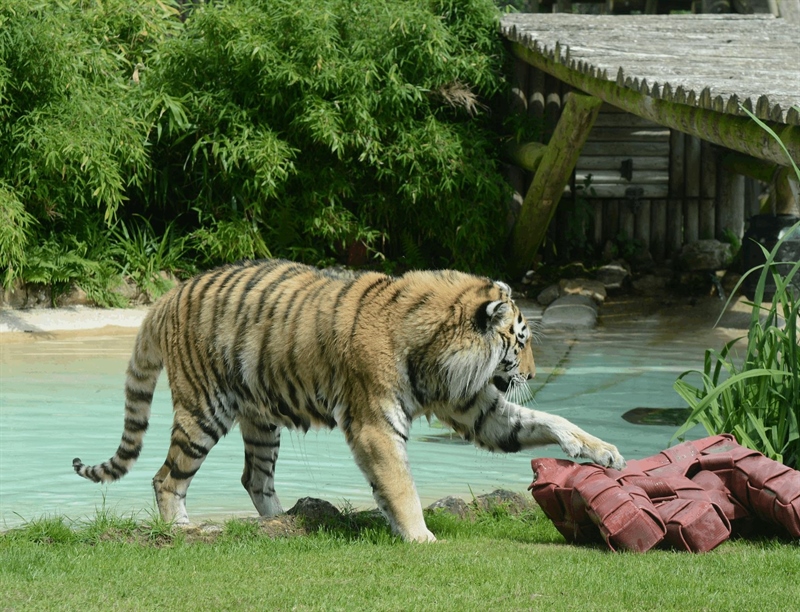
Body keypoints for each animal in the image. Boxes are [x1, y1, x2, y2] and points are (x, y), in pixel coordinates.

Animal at [73, 256, 624, 540]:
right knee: (166, 477)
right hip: (204, 410)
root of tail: (168, 296)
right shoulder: (374, 423)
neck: (438, 352)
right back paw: (187, 530)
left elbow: (545, 418)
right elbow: (401, 486)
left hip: (261, 419)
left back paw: (283, 521)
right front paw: (421, 538)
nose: (533, 371)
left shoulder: (477, 409)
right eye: (522, 341)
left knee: (254, 477)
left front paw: (603, 452)